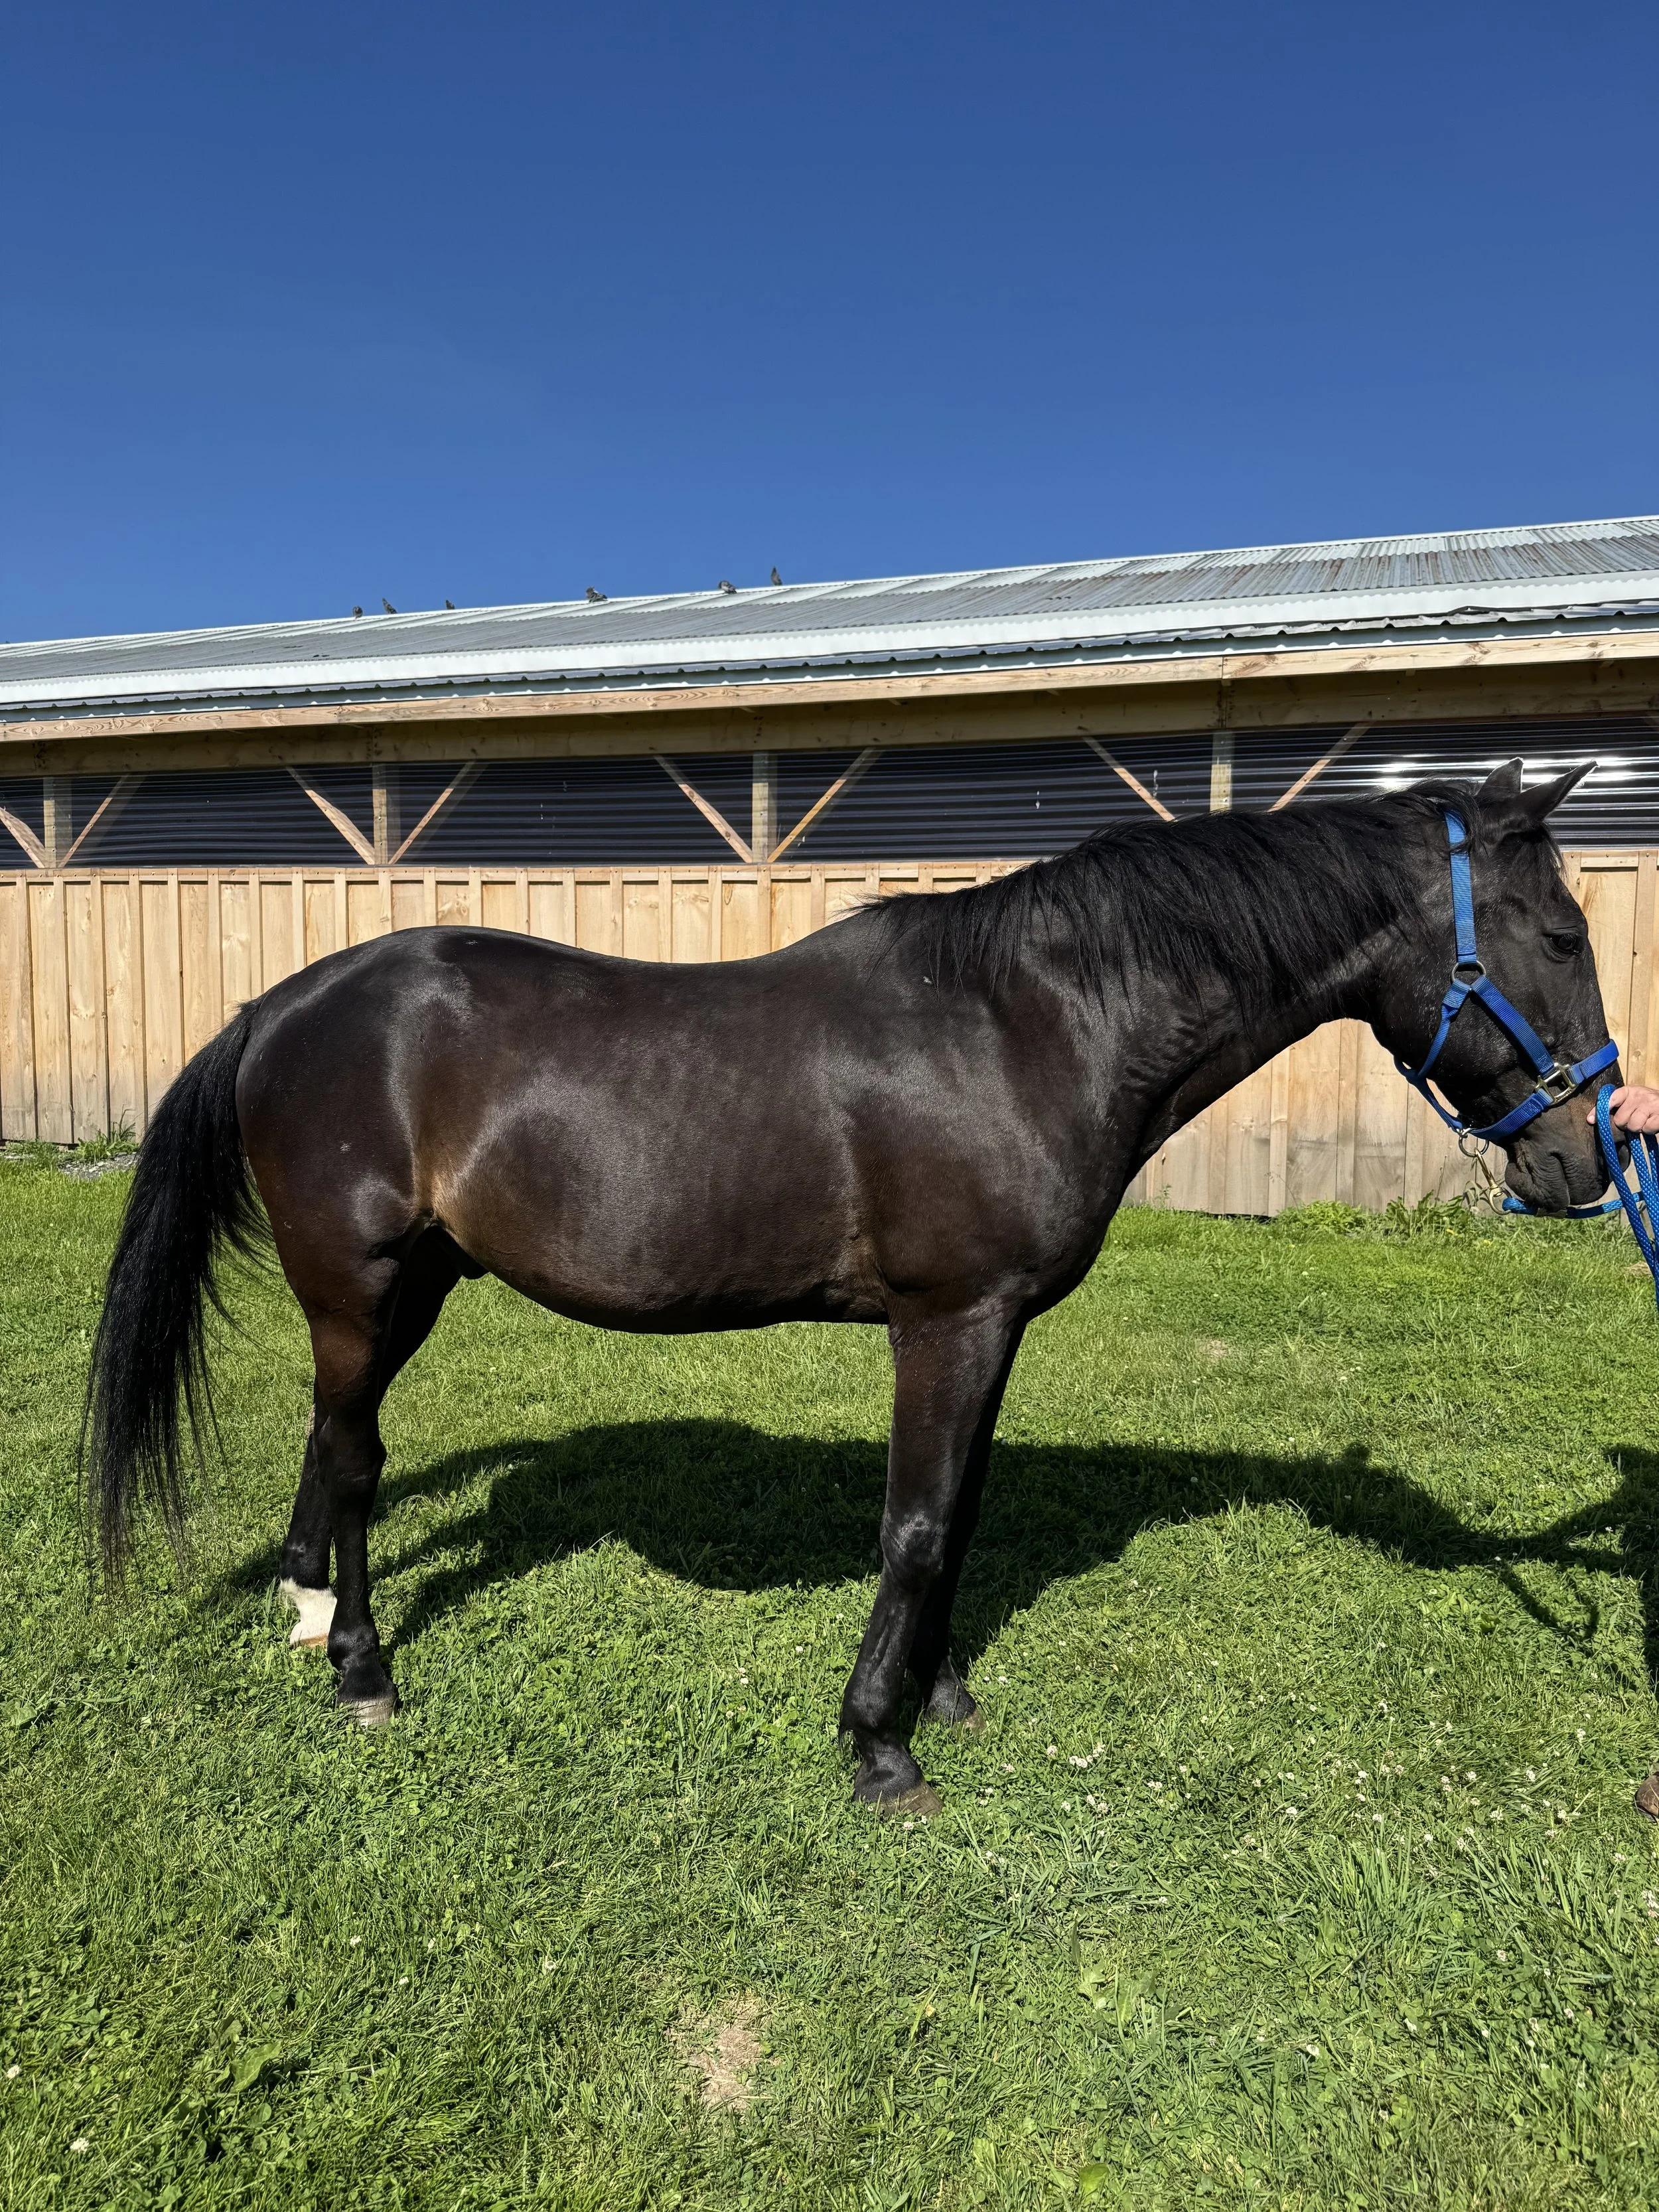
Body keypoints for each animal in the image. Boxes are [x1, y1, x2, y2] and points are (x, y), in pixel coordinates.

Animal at [85, 761, 1614, 1815]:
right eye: (1560, 938)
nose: (1583, 1159)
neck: (1027, 1023)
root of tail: (281, 1006)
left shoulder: (993, 1329)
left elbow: (964, 1509)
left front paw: (942, 1691)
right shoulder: (947, 1320)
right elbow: (920, 1524)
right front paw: (880, 1739)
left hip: (411, 1286)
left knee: (330, 1439)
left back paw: (303, 1613)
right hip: (357, 1280)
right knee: (355, 1459)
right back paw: (361, 1668)